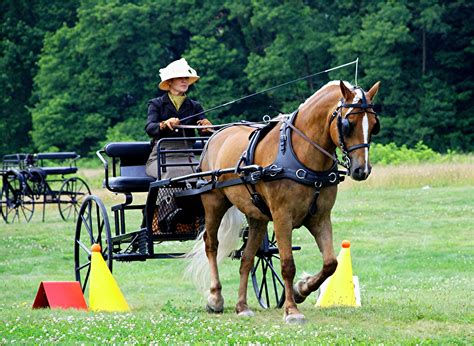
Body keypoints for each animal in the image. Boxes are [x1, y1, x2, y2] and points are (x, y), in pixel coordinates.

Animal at [186, 79, 382, 324]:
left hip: (256, 216)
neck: (301, 156)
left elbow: (331, 263)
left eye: (374, 125)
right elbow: (287, 264)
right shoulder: (282, 217)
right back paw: (215, 298)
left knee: (247, 258)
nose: (361, 170)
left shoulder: (320, 217)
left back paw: (242, 306)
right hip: (214, 202)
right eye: (349, 123)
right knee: (211, 245)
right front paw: (292, 310)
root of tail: (216, 135)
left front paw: (301, 290)